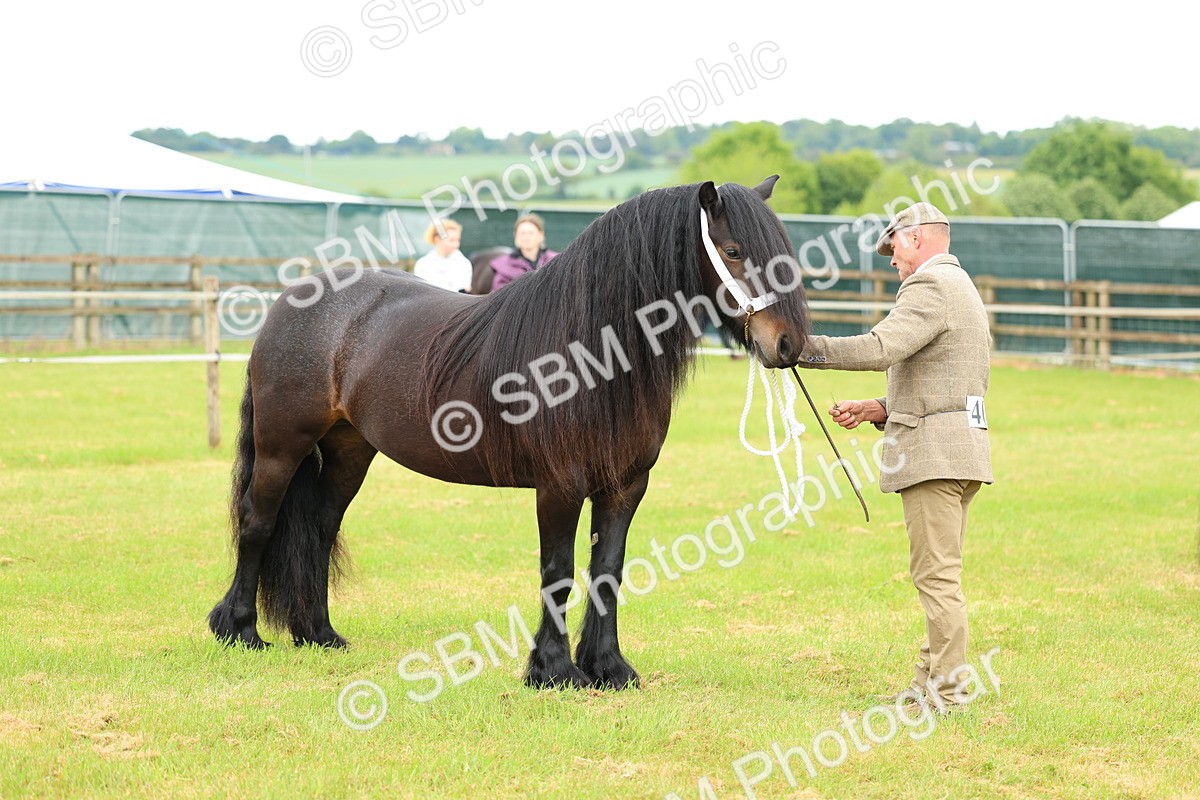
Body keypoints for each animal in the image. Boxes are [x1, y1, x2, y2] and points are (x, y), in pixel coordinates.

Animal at [207, 176, 810, 690]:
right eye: (733, 251)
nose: (788, 345)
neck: (591, 353)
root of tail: (296, 299)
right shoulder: (560, 485)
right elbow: (559, 571)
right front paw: (553, 670)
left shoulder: (625, 486)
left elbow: (608, 571)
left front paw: (609, 668)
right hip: (281, 446)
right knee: (259, 523)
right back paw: (239, 630)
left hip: (348, 452)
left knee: (319, 528)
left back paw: (319, 635)